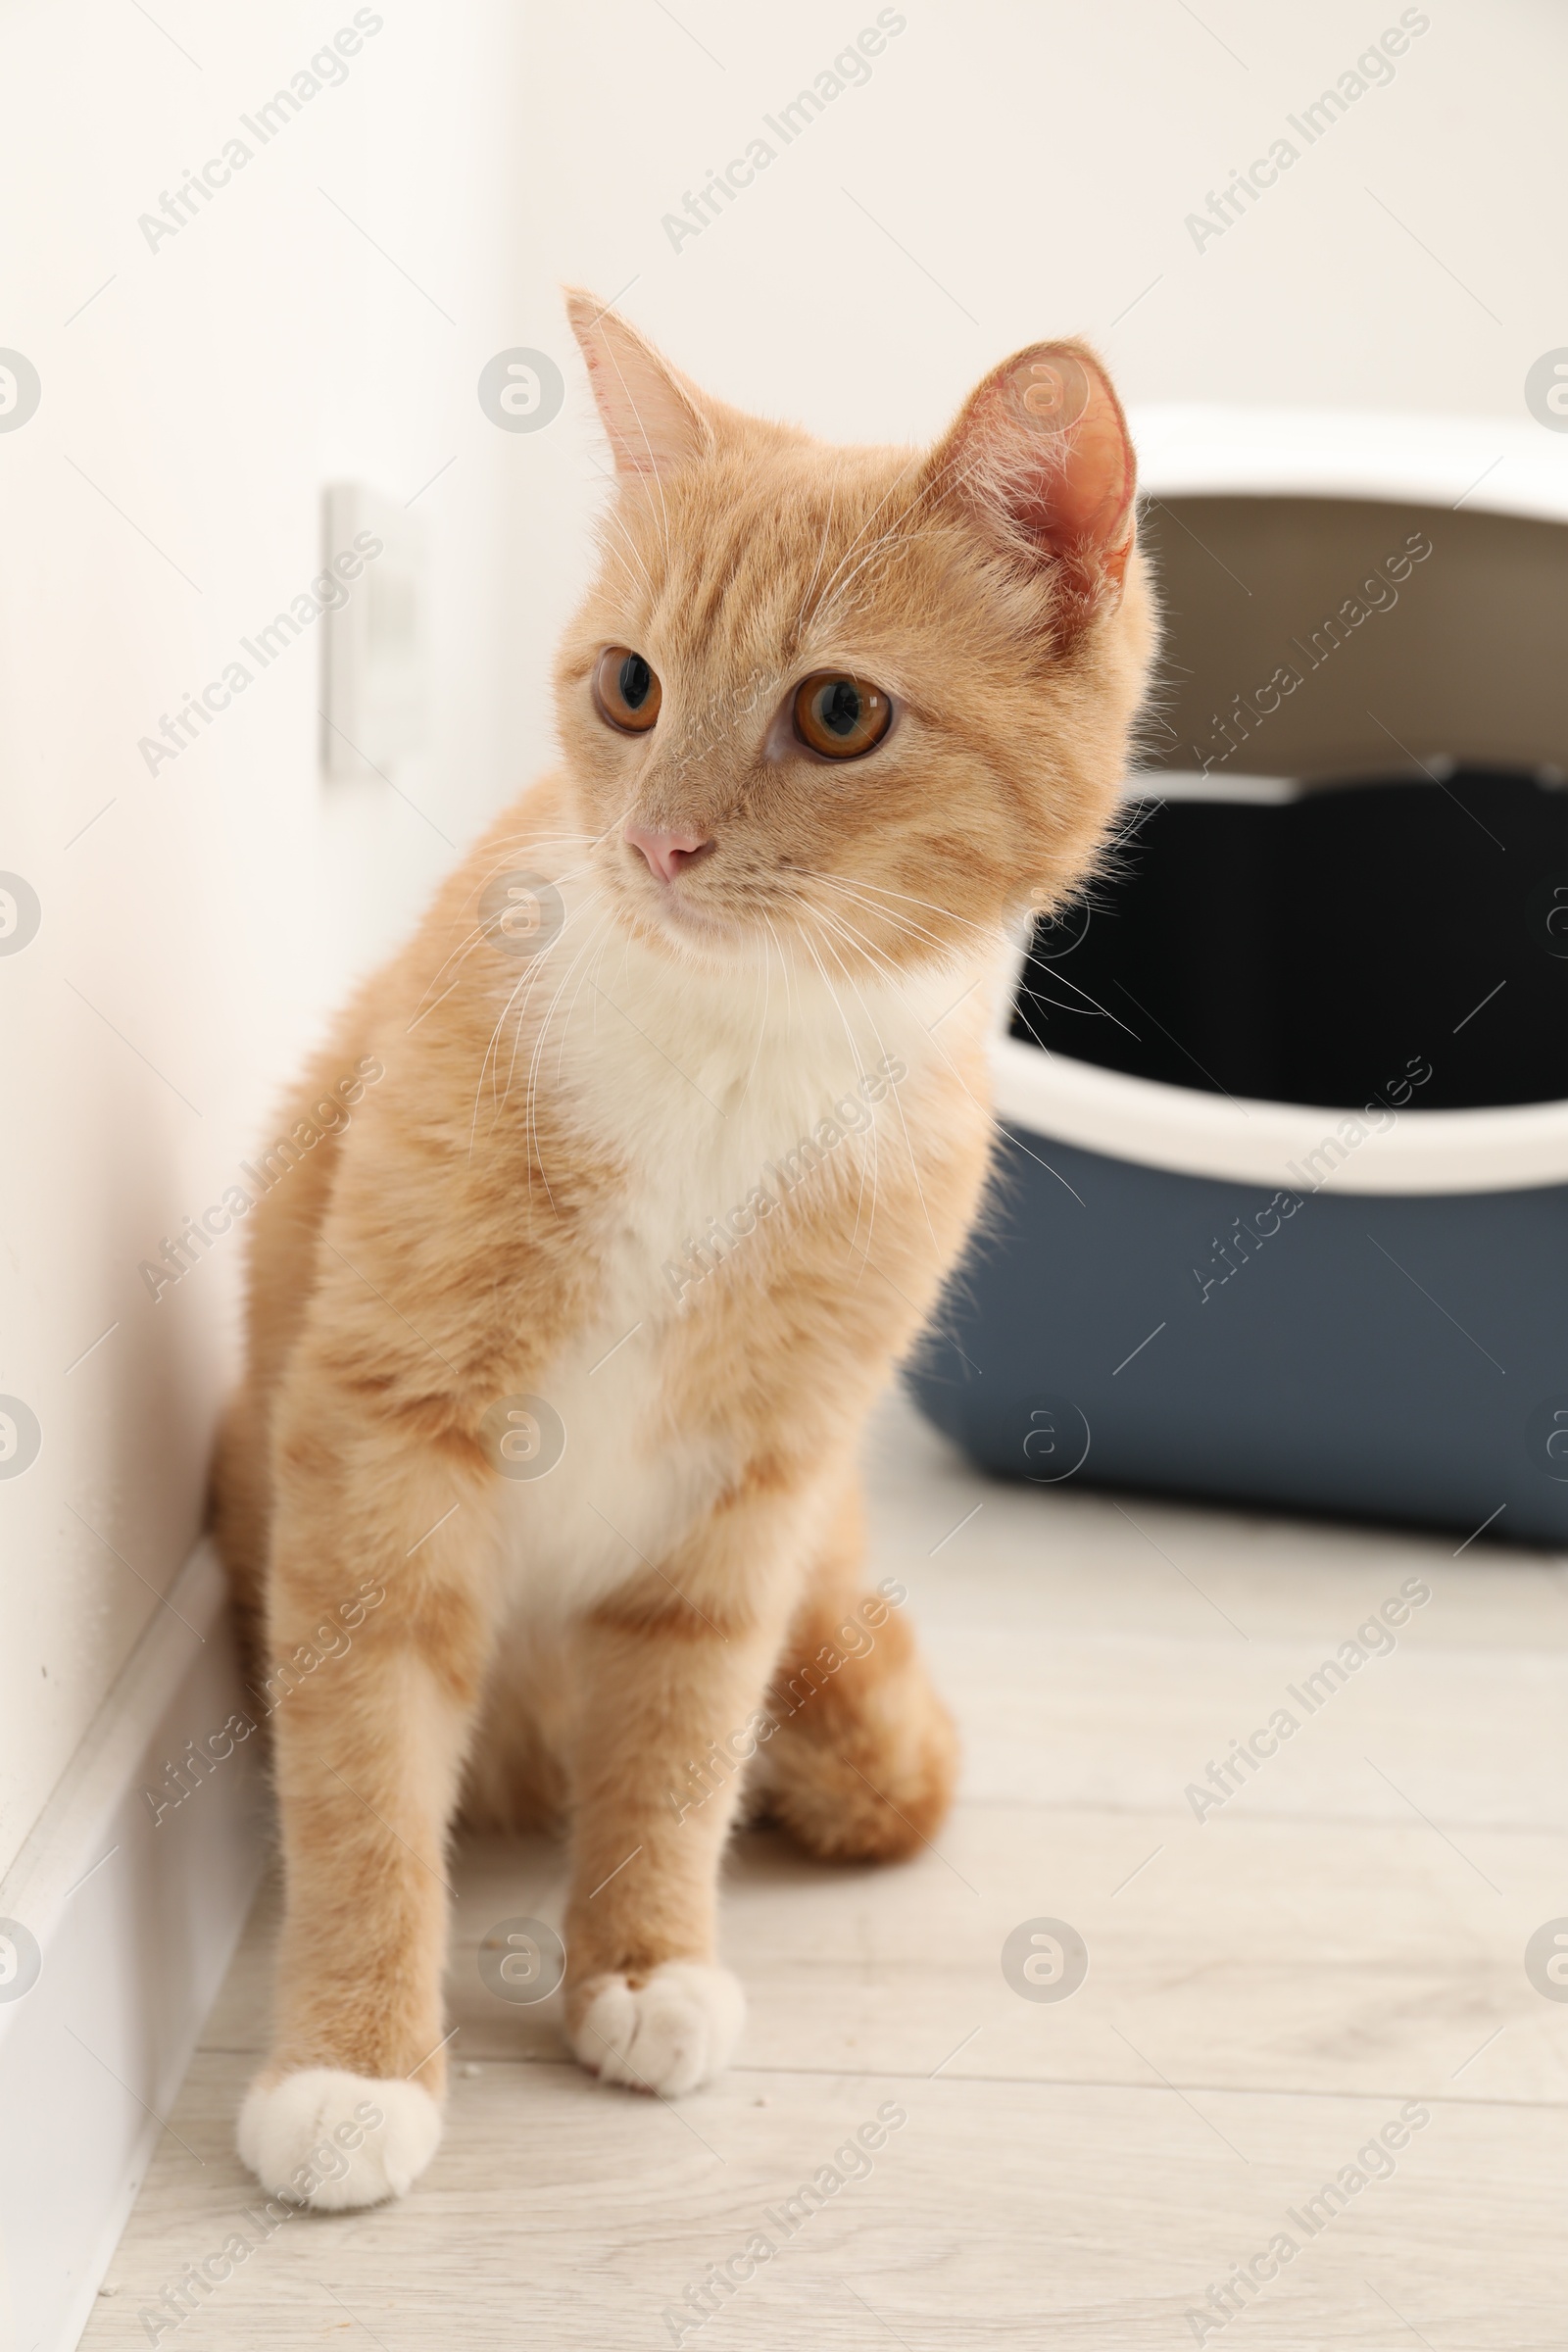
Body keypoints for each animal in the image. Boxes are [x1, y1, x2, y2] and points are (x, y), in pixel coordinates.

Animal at [211, 294, 1152, 2201]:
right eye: (628, 687)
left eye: (842, 712)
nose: (656, 839)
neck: (739, 1051)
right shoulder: (377, 1431)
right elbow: (364, 1779)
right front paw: (350, 2065)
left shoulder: (755, 1483)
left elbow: (677, 1740)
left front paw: (642, 1964)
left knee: (882, 1760)